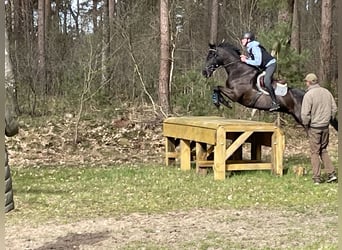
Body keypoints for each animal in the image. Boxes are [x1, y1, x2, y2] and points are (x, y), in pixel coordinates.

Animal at [202, 42, 338, 131]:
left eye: (211, 56)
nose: (204, 72)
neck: (239, 71)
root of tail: (306, 94)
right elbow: (216, 88)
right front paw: (220, 102)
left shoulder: (236, 95)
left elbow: (217, 87)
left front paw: (222, 102)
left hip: (304, 118)